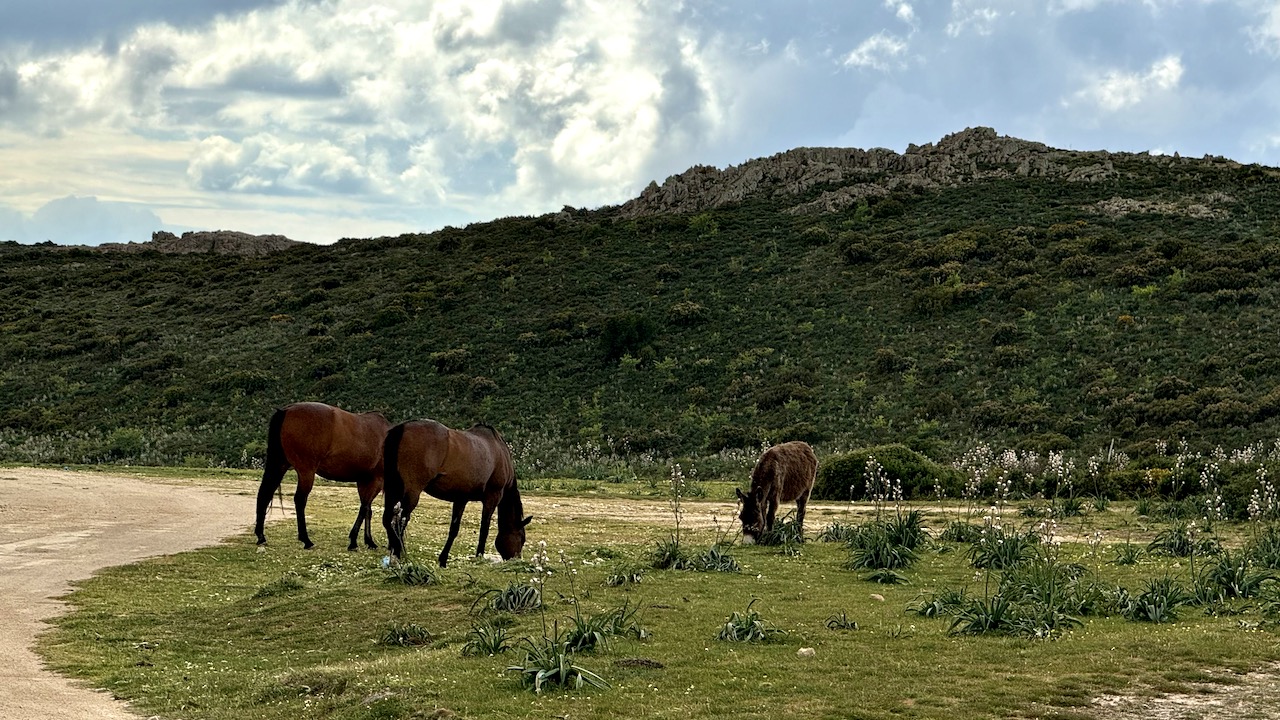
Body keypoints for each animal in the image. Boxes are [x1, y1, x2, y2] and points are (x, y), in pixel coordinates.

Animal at [250, 399, 386, 545]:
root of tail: (286, 410)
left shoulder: (363, 481)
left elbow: (367, 509)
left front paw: (368, 540)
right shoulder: (377, 480)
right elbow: (365, 507)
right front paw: (357, 539)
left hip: (278, 466)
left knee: (265, 494)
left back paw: (261, 536)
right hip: (306, 472)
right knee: (299, 500)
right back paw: (305, 539)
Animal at [384, 417, 535, 563]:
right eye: (522, 538)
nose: (516, 559)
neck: (500, 453)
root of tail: (402, 428)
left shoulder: (461, 499)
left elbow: (454, 529)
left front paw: (443, 559)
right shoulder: (492, 497)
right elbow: (484, 528)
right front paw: (479, 556)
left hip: (394, 489)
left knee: (388, 519)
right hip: (412, 492)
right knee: (400, 521)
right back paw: (399, 553)